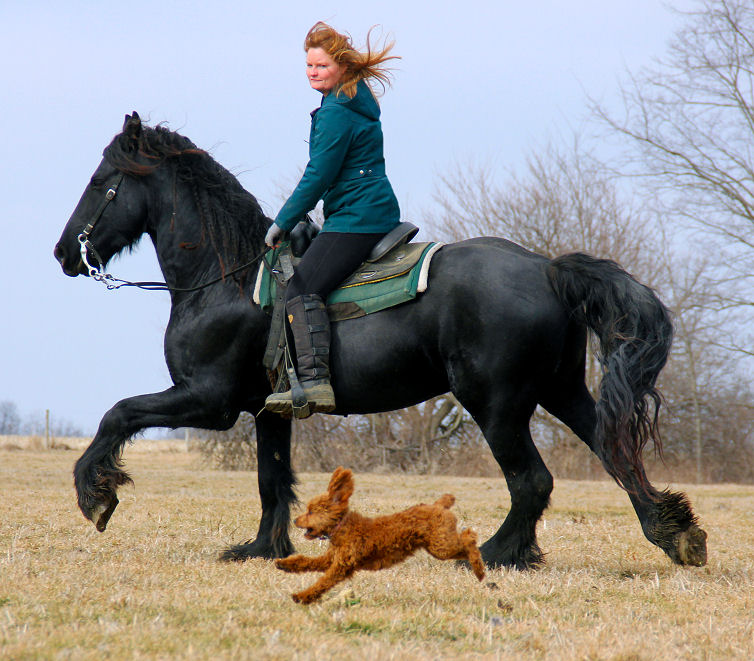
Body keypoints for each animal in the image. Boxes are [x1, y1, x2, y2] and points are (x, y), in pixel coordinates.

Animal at [54, 112, 707, 569]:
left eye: (101, 181)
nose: (64, 253)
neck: (228, 278)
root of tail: (547, 268)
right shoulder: (267, 411)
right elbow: (271, 479)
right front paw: (262, 549)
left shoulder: (206, 400)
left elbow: (119, 413)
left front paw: (96, 495)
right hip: (561, 390)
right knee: (614, 450)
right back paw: (674, 535)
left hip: (496, 405)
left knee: (533, 481)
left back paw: (499, 553)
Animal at [274, 466, 485, 603]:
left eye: (311, 512)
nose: (295, 521)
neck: (342, 527)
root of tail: (438, 505)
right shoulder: (330, 559)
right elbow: (306, 561)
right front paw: (284, 564)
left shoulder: (341, 566)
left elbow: (323, 582)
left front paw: (302, 596)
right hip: (440, 545)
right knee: (466, 543)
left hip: (441, 546)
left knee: (469, 537)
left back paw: (479, 570)